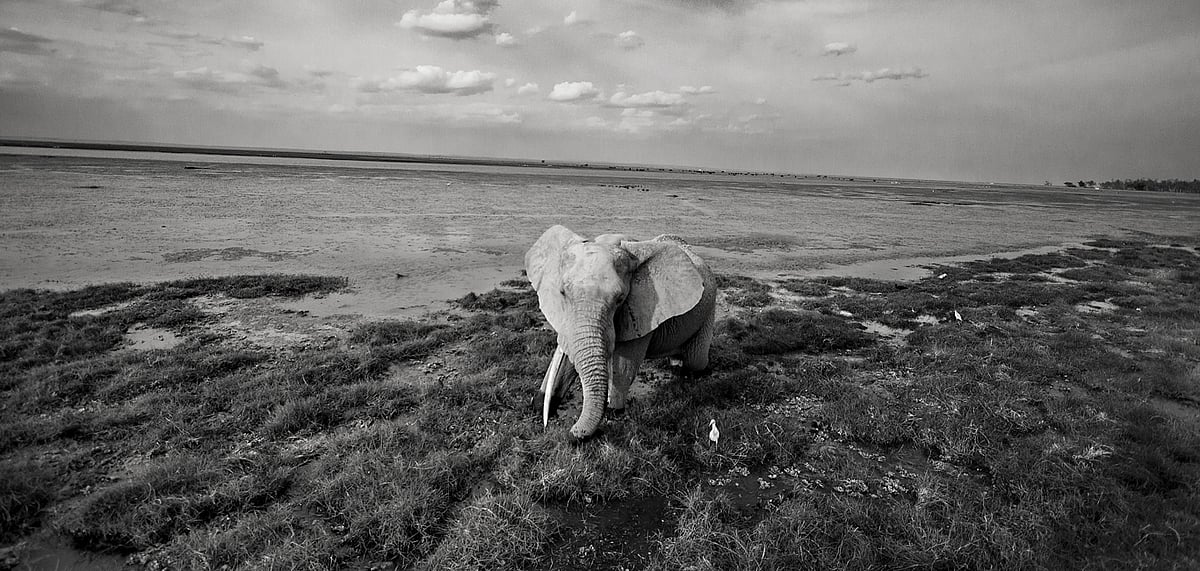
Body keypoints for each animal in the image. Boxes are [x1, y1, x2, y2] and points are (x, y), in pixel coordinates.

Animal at [525, 224, 717, 440]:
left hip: (709, 309)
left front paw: (613, 411)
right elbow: (569, 359)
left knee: (696, 360)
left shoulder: (641, 310)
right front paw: (540, 404)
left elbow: (625, 365)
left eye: (619, 299)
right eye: (562, 293)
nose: (571, 433)